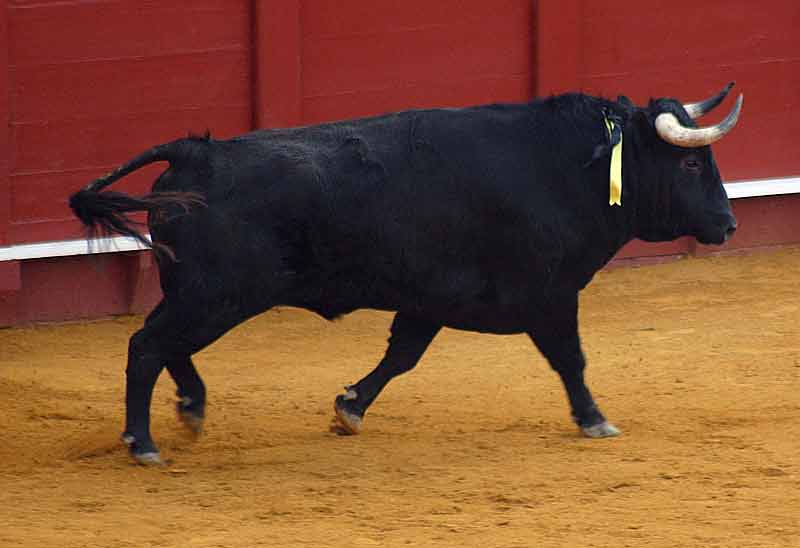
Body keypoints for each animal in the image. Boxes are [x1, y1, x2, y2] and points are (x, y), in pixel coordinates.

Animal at [70, 83, 744, 464]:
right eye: (690, 166)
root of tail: (194, 150)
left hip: (200, 292)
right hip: (216, 294)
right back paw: (143, 442)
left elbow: (401, 356)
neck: (570, 166)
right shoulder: (550, 295)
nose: (729, 223)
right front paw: (595, 419)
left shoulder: (430, 299)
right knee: (148, 345)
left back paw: (191, 410)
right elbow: (570, 359)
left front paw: (348, 408)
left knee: (169, 347)